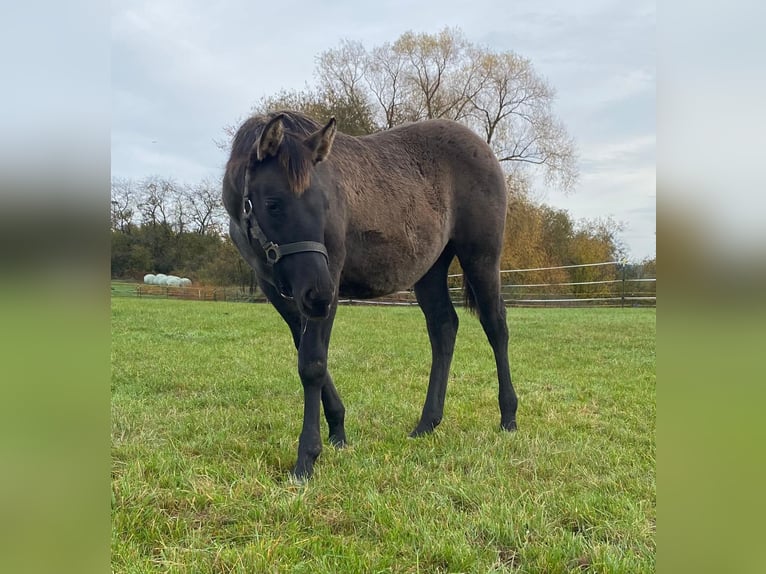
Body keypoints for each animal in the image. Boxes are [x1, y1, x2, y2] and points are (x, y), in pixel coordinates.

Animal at [225, 110, 520, 480]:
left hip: (480, 257)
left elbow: (313, 362)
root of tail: (483, 148)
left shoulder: (328, 279)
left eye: (325, 204)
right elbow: (307, 354)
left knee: (496, 326)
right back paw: (427, 423)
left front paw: (306, 458)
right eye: (272, 203)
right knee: (444, 328)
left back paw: (508, 417)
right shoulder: (278, 290)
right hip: (430, 270)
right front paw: (337, 431)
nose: (320, 295)